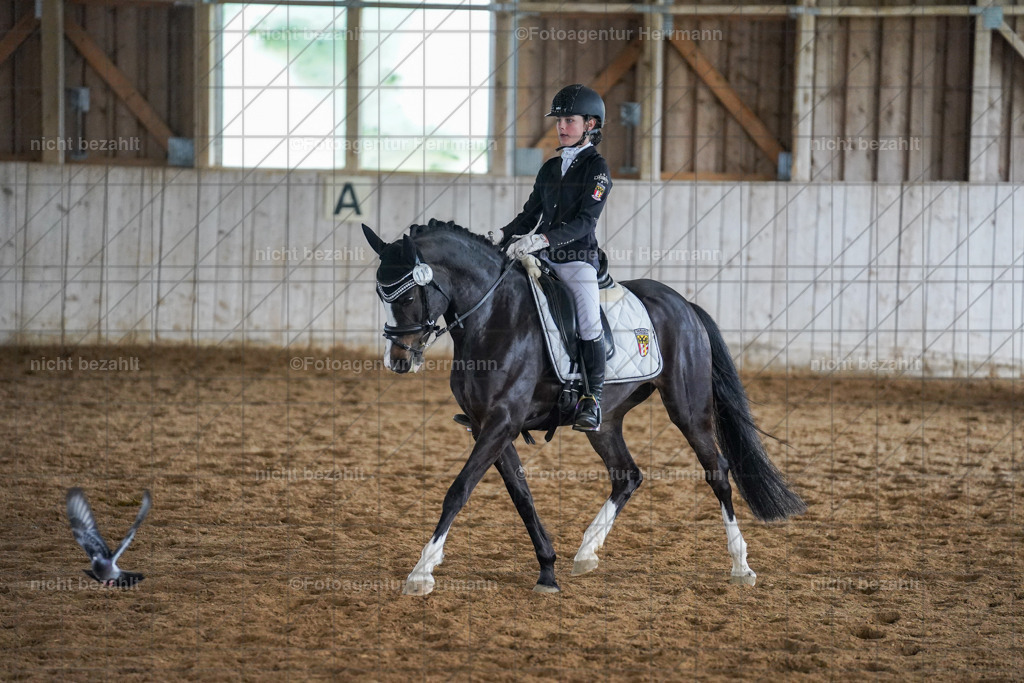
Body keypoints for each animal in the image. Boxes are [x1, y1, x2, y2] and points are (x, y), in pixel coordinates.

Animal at [363, 219, 805, 595]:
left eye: (407, 293)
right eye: (381, 294)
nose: (398, 360)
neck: (494, 316)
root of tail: (684, 304)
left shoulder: (501, 422)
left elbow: (459, 490)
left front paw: (421, 572)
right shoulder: (486, 425)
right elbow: (521, 496)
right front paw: (547, 569)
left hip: (688, 409)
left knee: (718, 473)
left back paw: (741, 565)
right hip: (606, 420)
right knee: (627, 475)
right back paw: (587, 552)